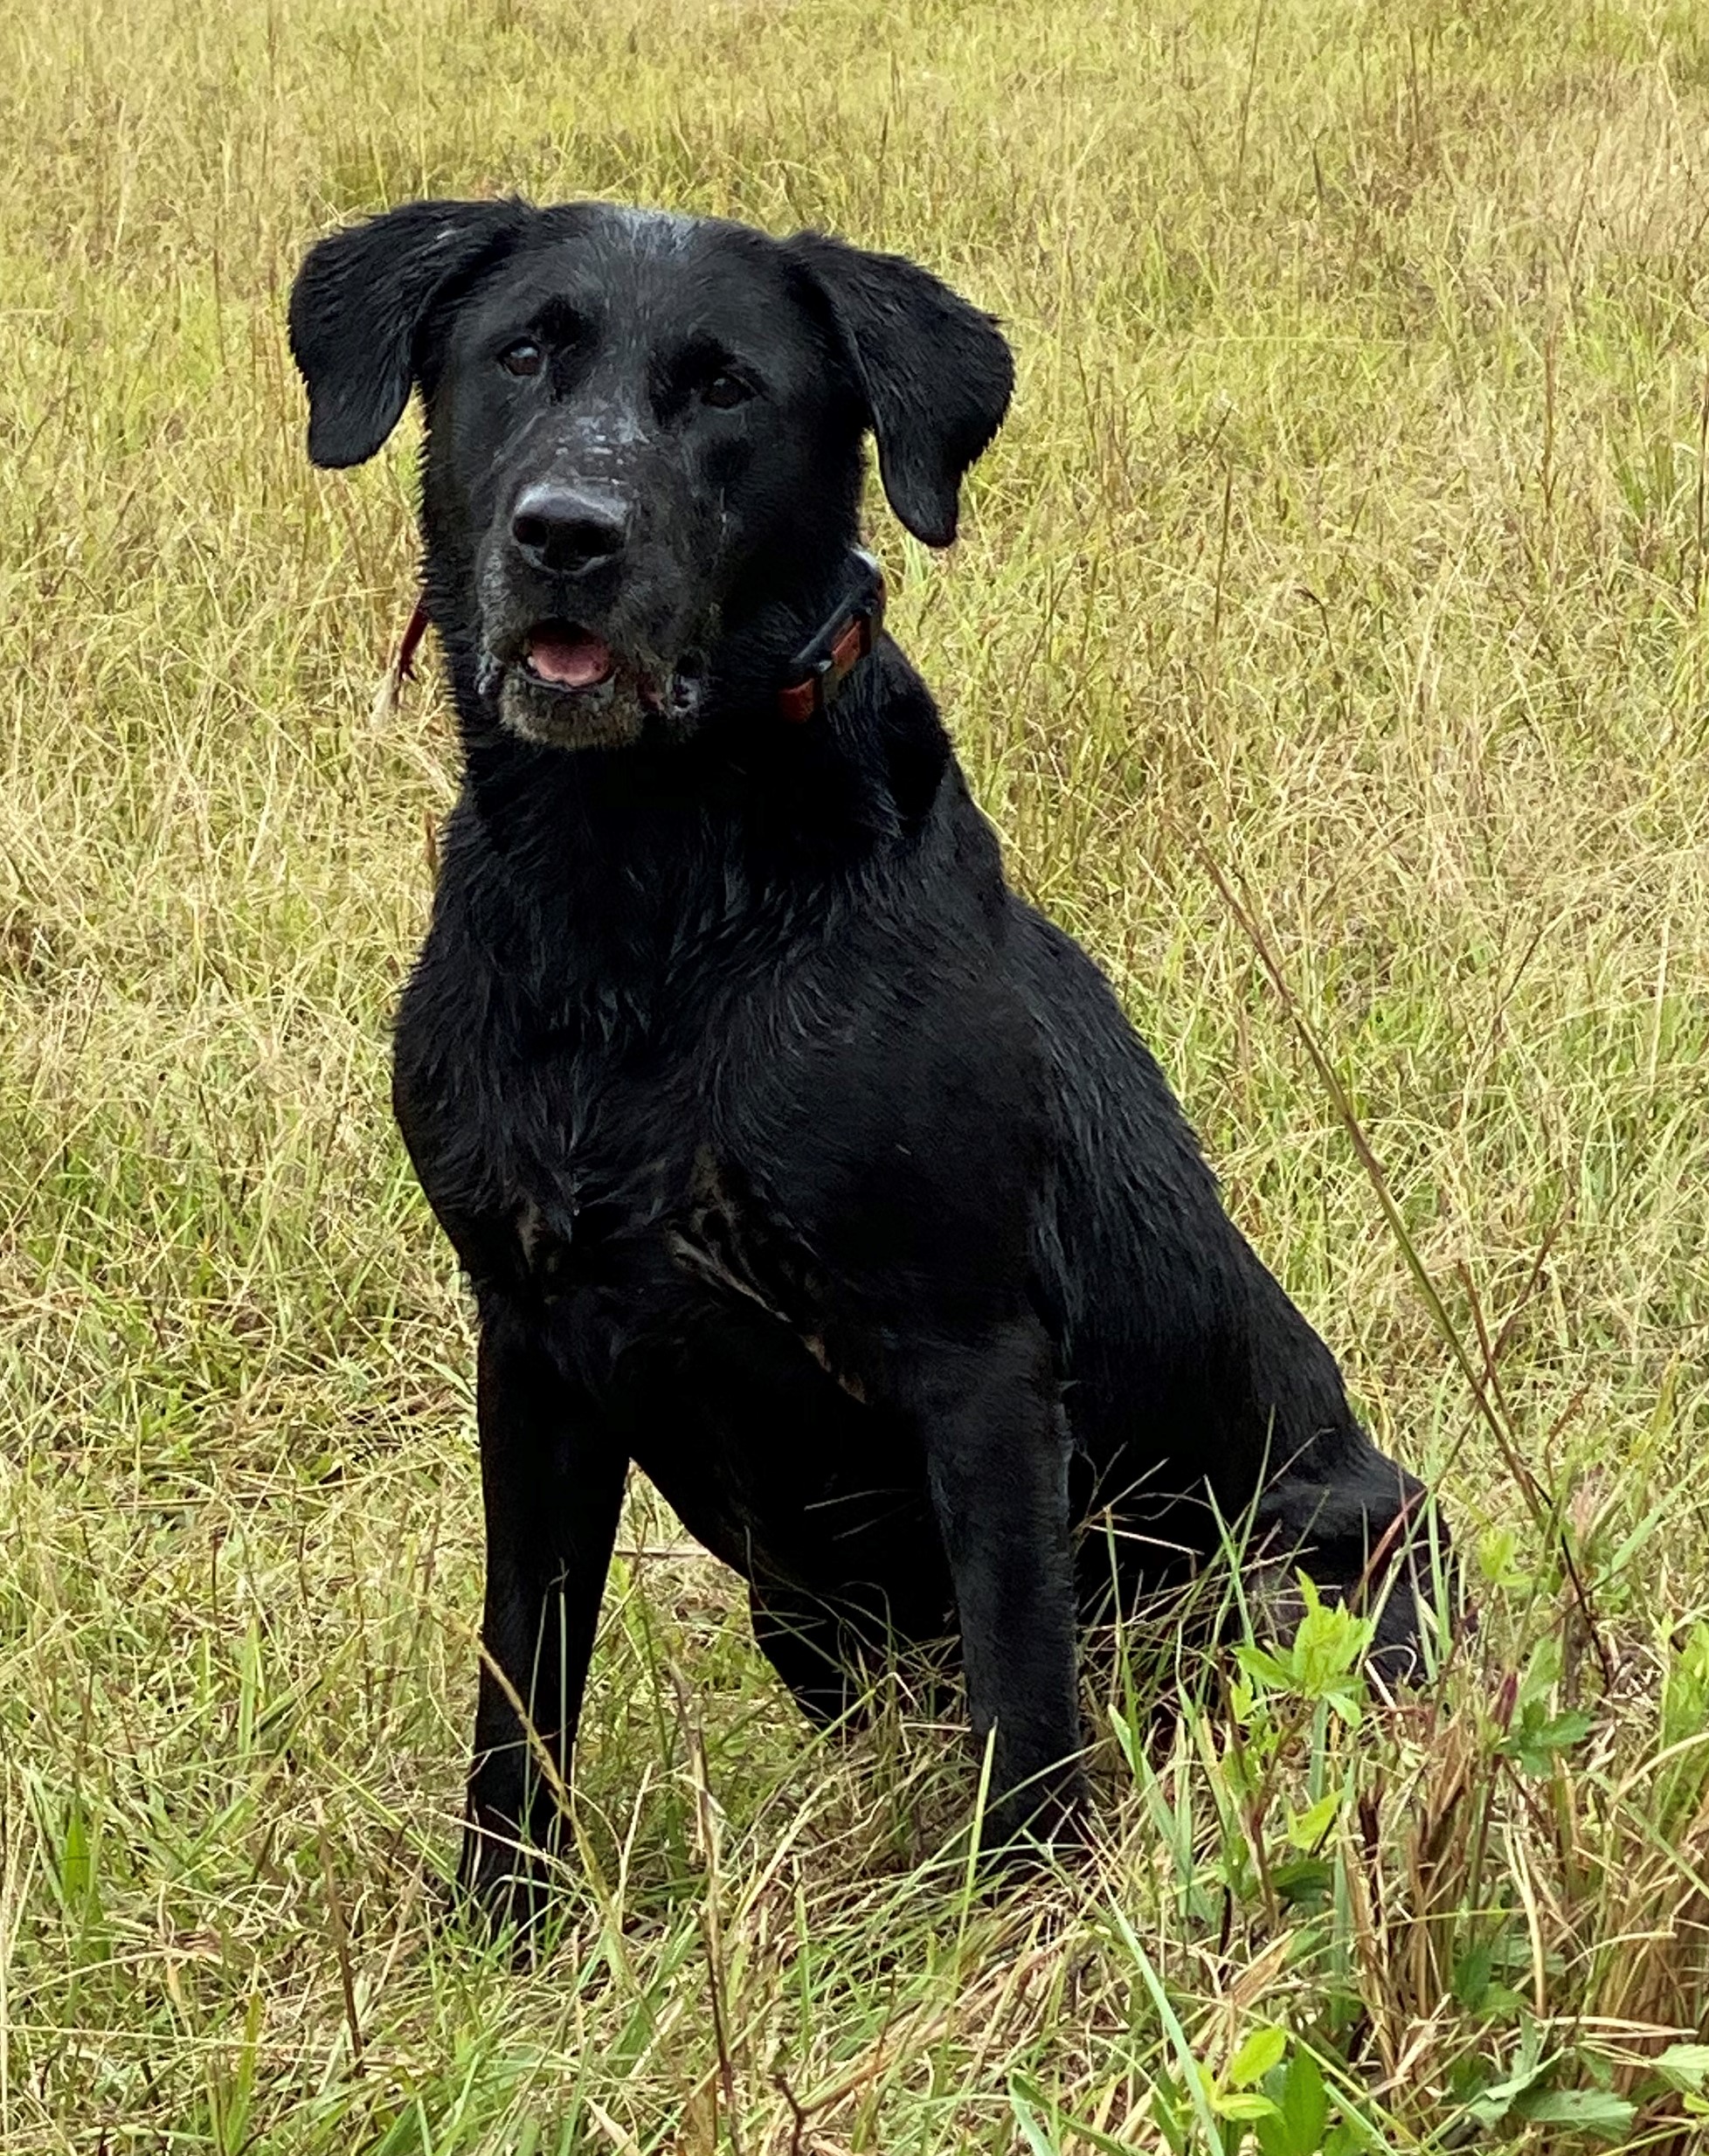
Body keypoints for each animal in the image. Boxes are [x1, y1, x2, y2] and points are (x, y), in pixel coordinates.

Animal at [290, 198, 1439, 1923]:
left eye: (727, 387)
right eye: (521, 354)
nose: (569, 534)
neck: (641, 897)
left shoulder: (977, 1364)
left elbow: (1024, 1695)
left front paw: (1022, 1923)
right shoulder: (533, 1349)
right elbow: (521, 1677)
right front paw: (505, 1925)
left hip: (1325, 1556)